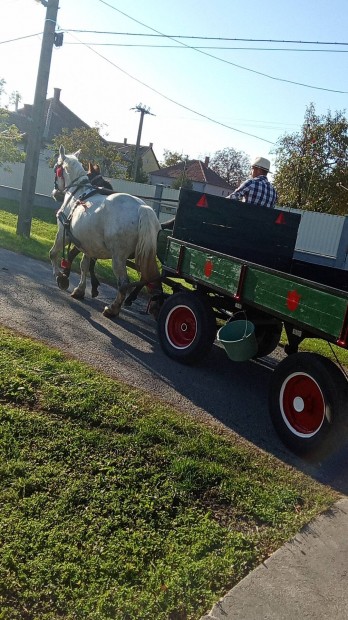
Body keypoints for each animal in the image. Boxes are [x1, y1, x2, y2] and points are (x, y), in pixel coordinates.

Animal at [49, 145, 162, 318]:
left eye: (56, 168)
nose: (55, 193)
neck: (77, 194)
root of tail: (142, 208)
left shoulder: (64, 233)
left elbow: (53, 254)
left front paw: (60, 278)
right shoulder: (88, 244)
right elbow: (84, 265)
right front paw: (80, 290)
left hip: (118, 257)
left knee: (123, 283)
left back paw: (113, 308)